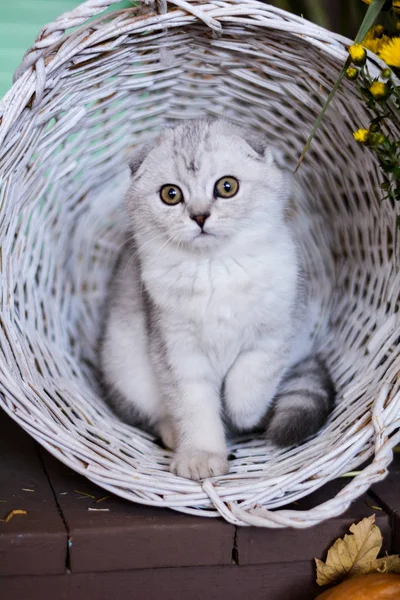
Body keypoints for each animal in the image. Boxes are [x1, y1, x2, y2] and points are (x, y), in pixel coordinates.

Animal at [100, 119, 334, 480]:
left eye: (226, 187)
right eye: (171, 194)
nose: (199, 216)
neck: (215, 268)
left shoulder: (276, 331)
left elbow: (251, 378)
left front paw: (243, 414)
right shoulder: (177, 349)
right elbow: (193, 407)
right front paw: (201, 456)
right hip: (124, 366)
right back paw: (172, 434)